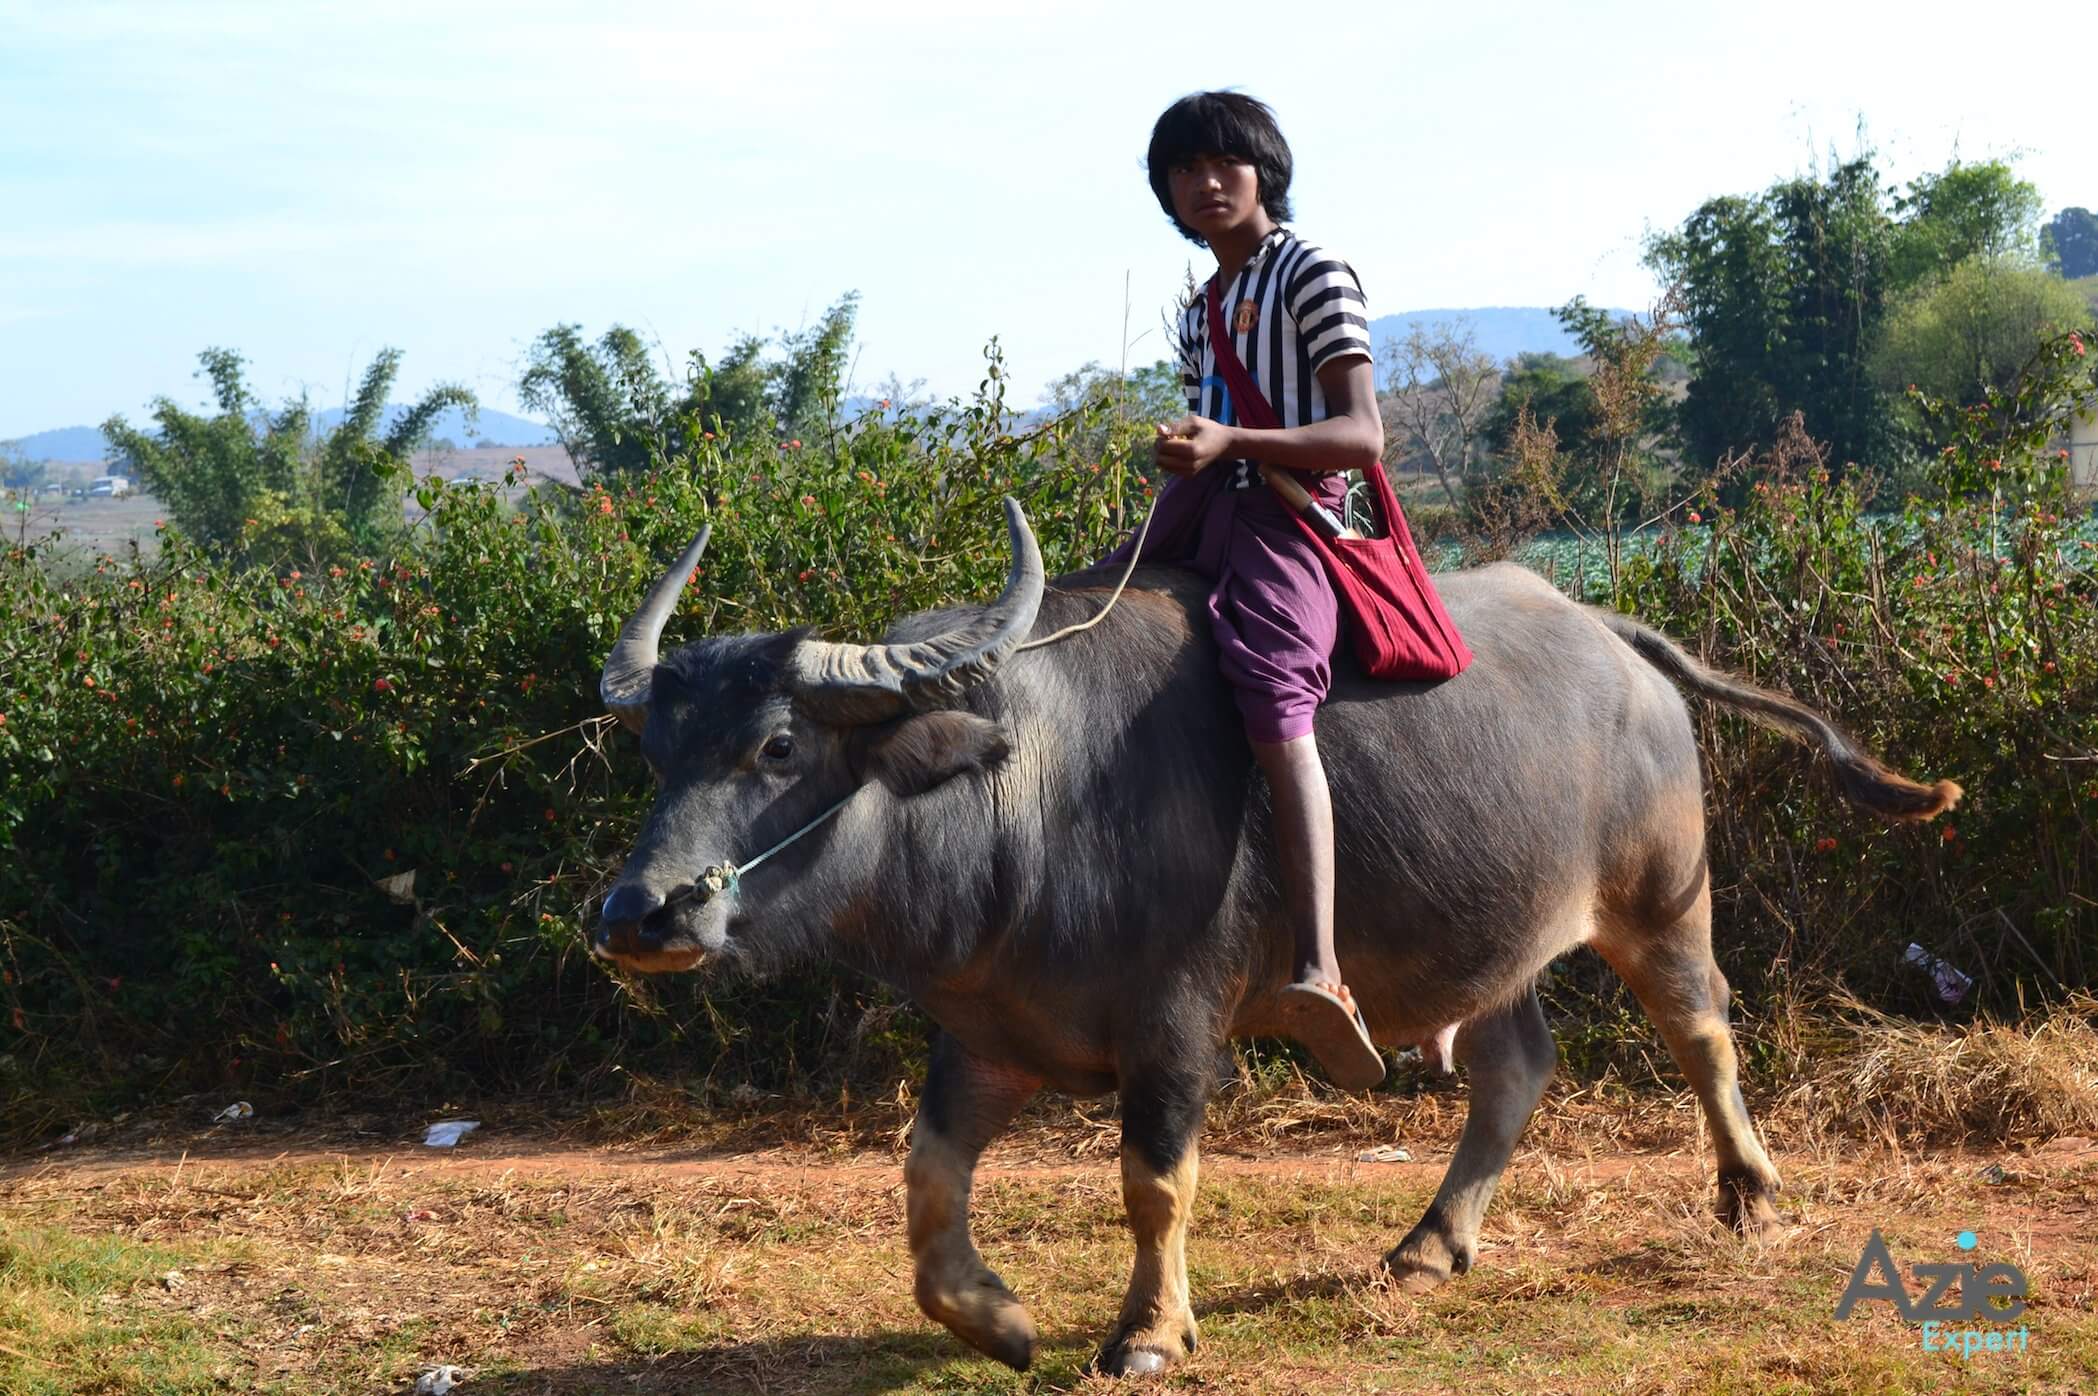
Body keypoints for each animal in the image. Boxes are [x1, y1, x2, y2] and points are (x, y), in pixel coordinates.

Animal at [595, 497, 1963, 1368]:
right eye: (657, 748)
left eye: (778, 745)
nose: (639, 912)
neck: (1022, 793)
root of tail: (1609, 636)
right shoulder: (986, 1030)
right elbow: (927, 1184)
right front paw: (999, 1319)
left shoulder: (1176, 1021)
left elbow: (1155, 1180)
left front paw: (1148, 1331)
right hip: (1494, 936)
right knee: (1515, 1069)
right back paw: (1429, 1244)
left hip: (1662, 896)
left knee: (1702, 1034)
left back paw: (1751, 1196)